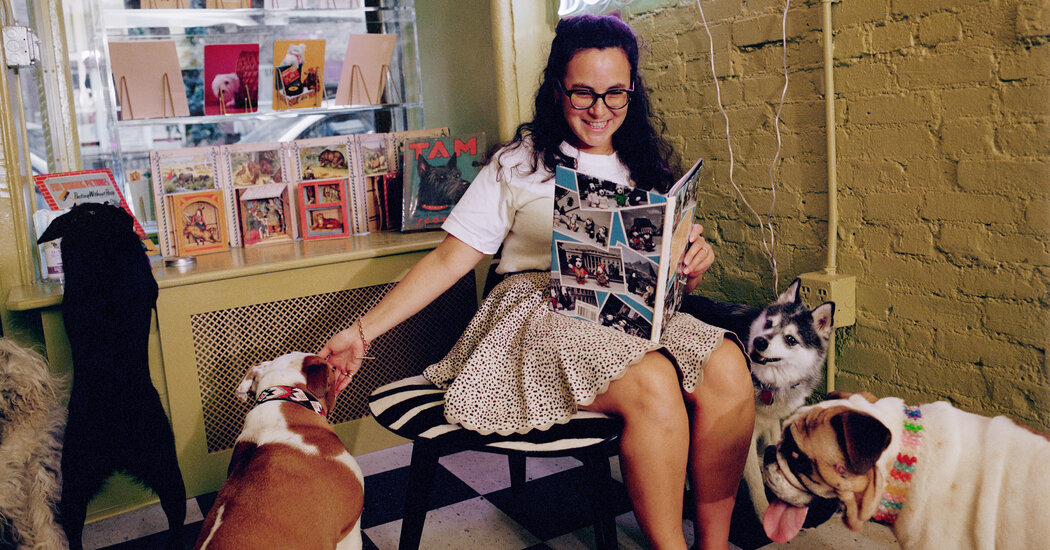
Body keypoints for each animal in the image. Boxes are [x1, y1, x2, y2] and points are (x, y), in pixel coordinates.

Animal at [680, 279, 835, 520]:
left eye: (791, 339)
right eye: (769, 323)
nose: (760, 341)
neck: (767, 383)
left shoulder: (770, 421)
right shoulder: (745, 435)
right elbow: (754, 480)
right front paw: (764, 514)